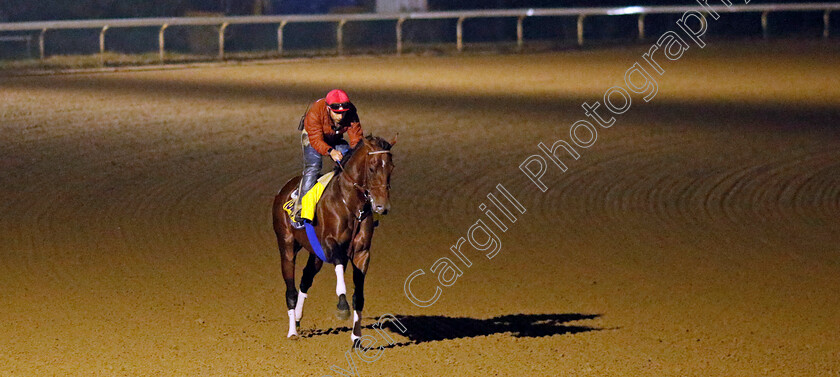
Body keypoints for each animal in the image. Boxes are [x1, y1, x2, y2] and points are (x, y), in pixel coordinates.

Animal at [272, 134, 398, 340]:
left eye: (391, 167)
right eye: (372, 167)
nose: (382, 206)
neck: (350, 204)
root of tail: (284, 189)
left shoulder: (361, 252)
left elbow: (359, 296)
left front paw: (356, 337)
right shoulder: (330, 245)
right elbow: (339, 268)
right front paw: (342, 306)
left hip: (315, 254)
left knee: (306, 279)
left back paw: (298, 319)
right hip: (287, 246)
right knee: (290, 289)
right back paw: (292, 331)